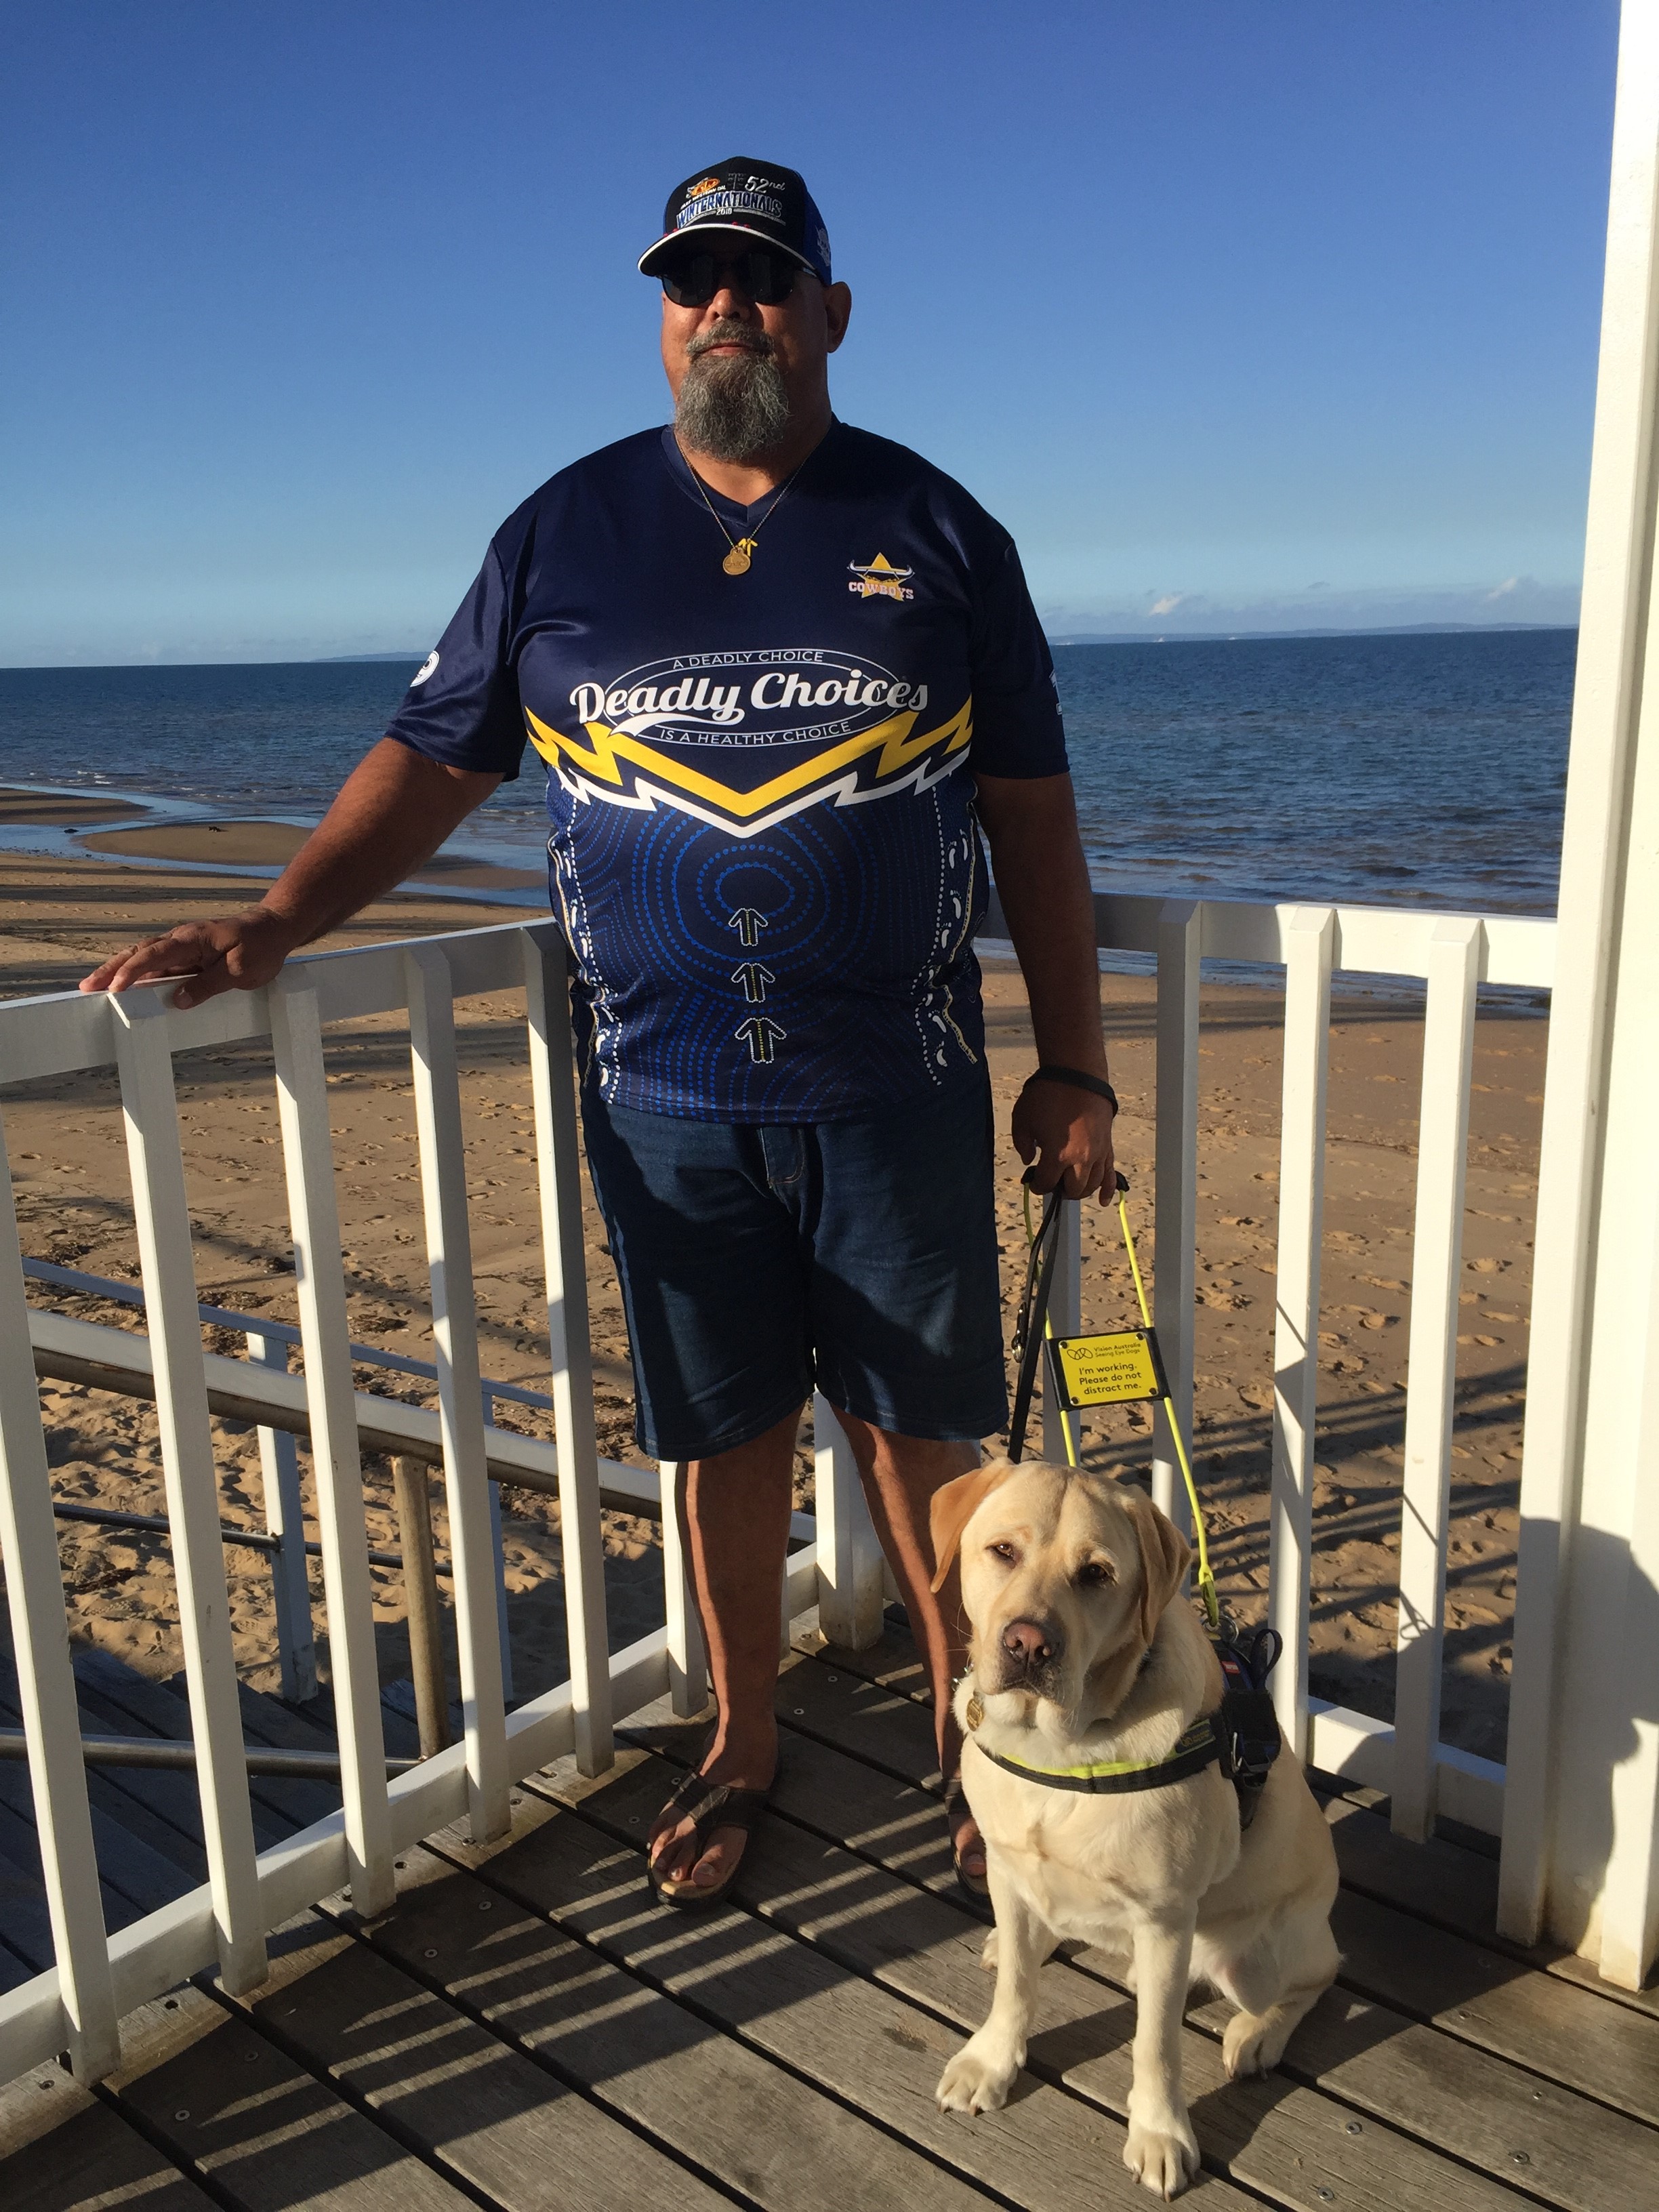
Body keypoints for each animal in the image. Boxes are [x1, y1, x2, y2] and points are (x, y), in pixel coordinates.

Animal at [928, 1451, 1345, 2194]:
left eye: (1096, 1574)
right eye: (1002, 1552)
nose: (1028, 1644)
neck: (1059, 1750)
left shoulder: (1164, 1917)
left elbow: (1155, 2045)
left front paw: (1160, 2133)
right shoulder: (1007, 1867)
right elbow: (1015, 1991)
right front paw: (992, 2061)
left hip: (1264, 1955)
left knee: (1316, 1978)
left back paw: (1257, 2035)